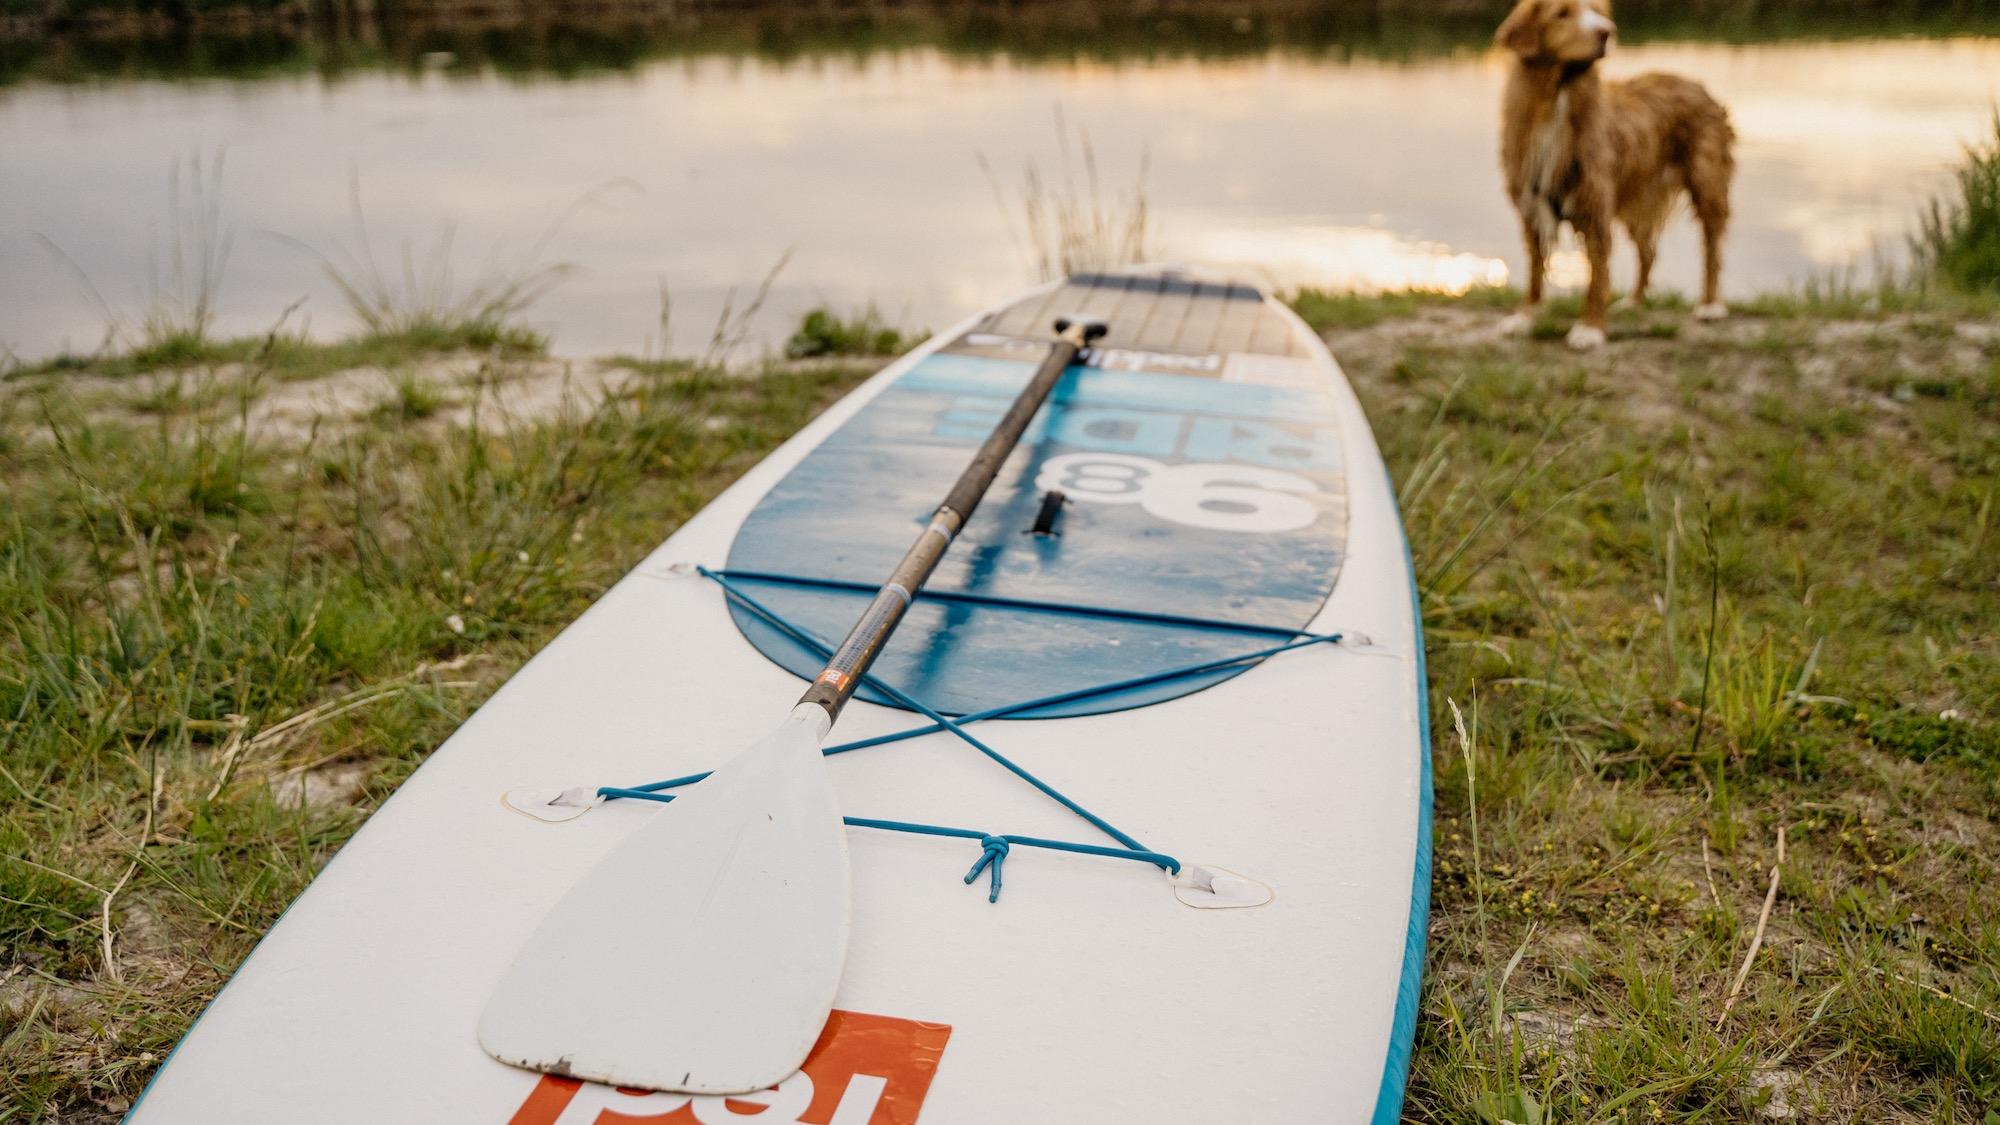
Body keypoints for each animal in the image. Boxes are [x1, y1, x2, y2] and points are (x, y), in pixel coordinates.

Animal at [1488, 0, 1736, 348]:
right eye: (1562, 13)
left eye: (1598, 12)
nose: (1607, 32)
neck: (1558, 99)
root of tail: (1693, 82)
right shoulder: (1531, 206)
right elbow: (1535, 269)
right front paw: (1525, 317)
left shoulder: (1595, 207)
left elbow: (1597, 276)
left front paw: (1590, 328)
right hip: (1636, 199)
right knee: (1649, 251)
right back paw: (1633, 302)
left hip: (1707, 183)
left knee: (1712, 249)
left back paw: (1711, 305)